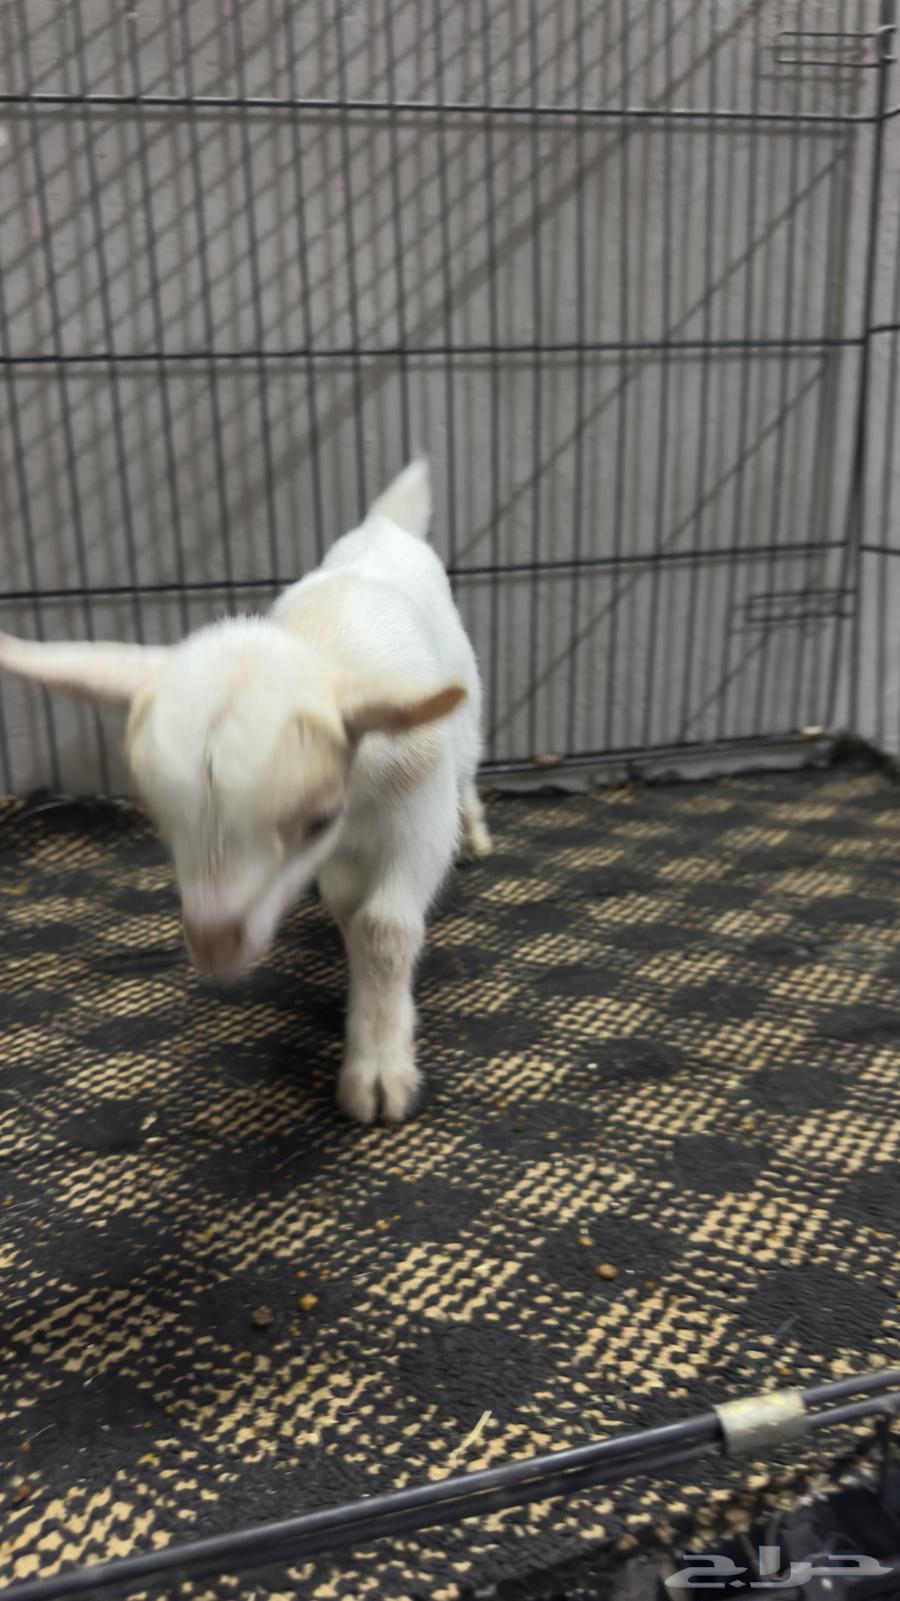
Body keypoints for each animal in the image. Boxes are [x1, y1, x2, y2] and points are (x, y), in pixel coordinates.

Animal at [0, 460, 492, 1123]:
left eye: (316, 819)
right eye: (157, 817)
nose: (213, 949)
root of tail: (383, 526)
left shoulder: (419, 813)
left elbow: (384, 928)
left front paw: (379, 1073)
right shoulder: (338, 853)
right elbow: (347, 906)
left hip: (463, 708)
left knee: (468, 770)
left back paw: (479, 834)